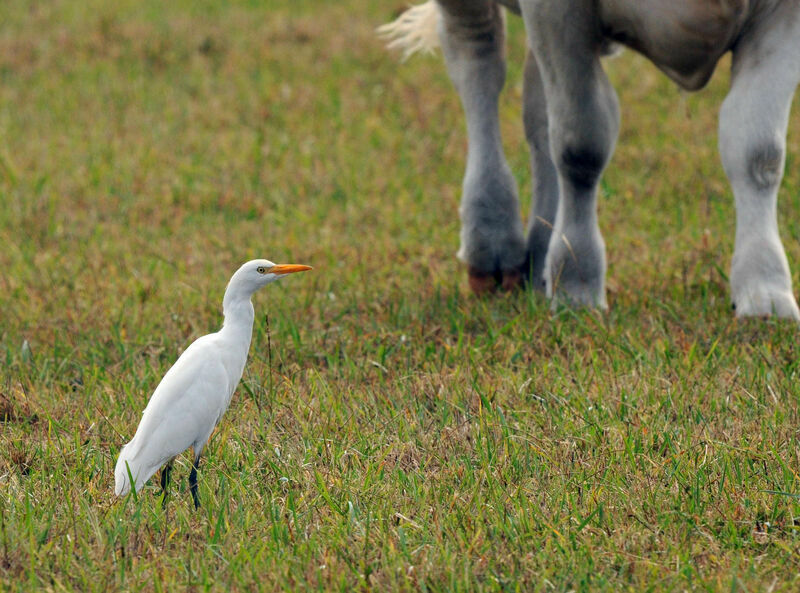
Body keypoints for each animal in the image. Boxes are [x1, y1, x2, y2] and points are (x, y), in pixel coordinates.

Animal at [382, 0, 800, 320]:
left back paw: (540, 256)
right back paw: (492, 241)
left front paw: (764, 290)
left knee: (538, 106)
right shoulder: (556, 11)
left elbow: (757, 151)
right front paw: (576, 282)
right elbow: (582, 145)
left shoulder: (782, 14)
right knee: (477, 57)